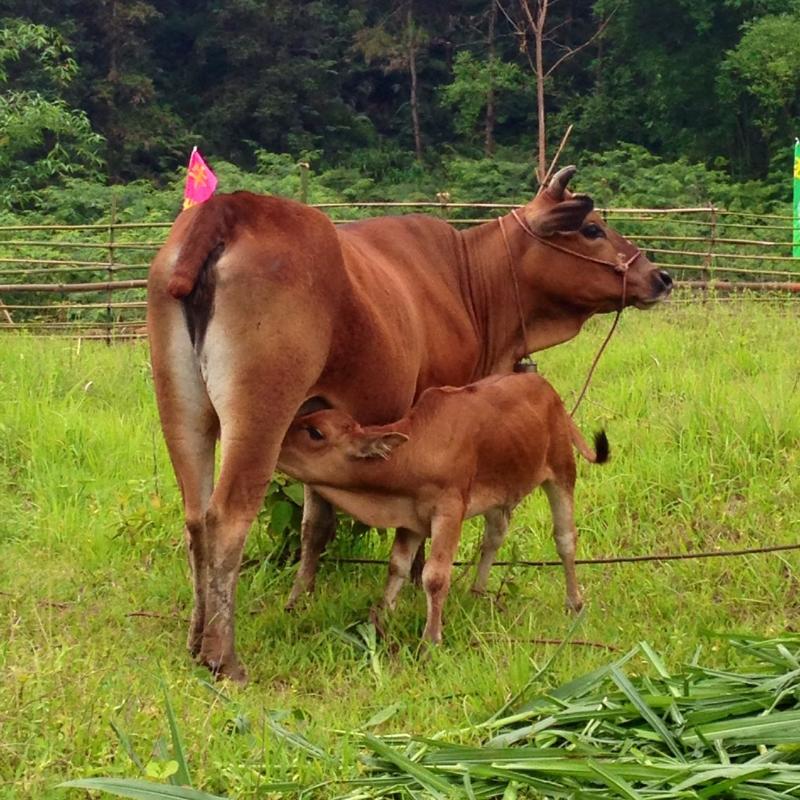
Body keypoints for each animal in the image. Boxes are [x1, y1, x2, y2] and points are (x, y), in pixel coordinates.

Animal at [280, 374, 608, 644]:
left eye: (315, 433)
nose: (277, 443)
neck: (413, 451)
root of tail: (549, 392)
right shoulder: (410, 519)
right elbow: (397, 566)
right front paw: (383, 615)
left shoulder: (449, 511)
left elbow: (435, 577)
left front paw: (431, 639)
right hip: (499, 493)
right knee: (494, 537)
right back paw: (477, 592)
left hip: (562, 471)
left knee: (565, 539)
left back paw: (574, 602)